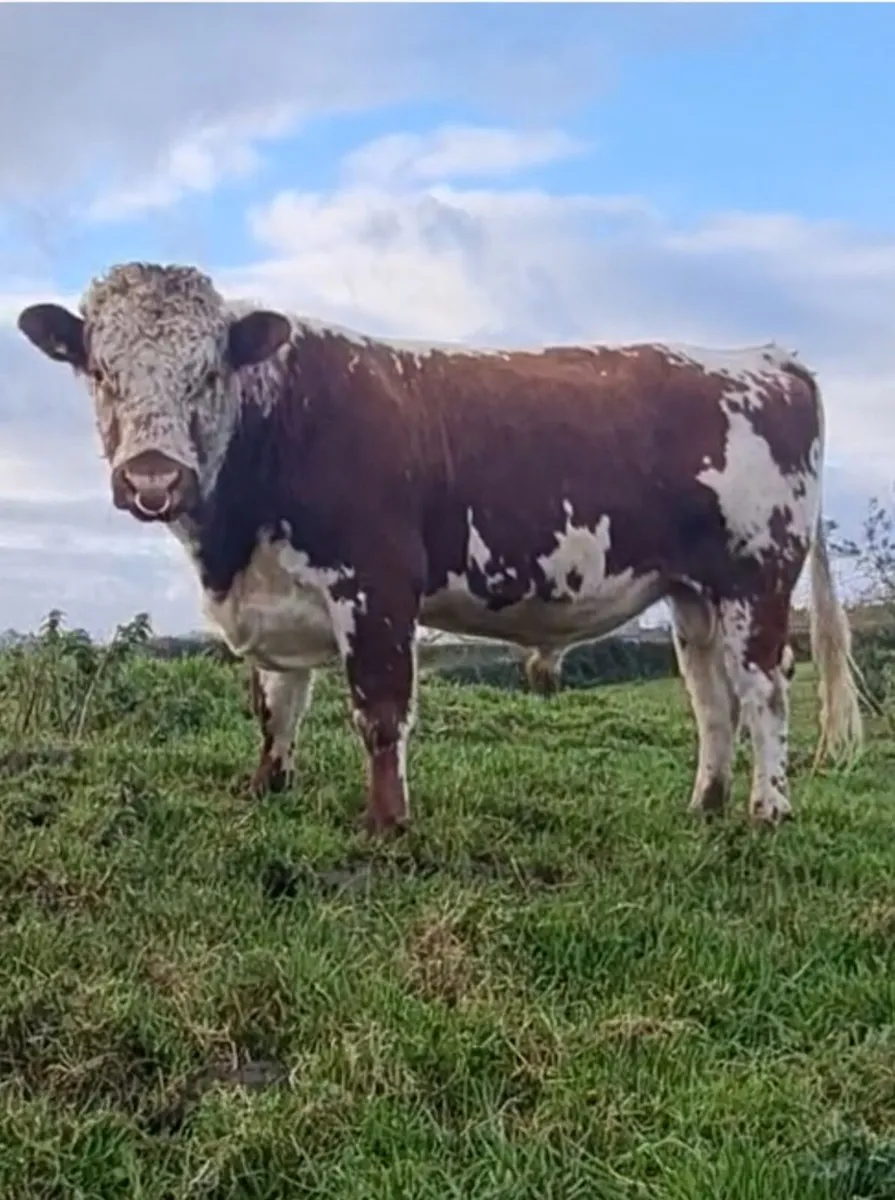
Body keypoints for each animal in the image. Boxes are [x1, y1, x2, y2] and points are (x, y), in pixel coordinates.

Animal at [17, 262, 863, 835]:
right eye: (100, 370)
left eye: (207, 373)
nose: (153, 479)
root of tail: (766, 358)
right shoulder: (274, 598)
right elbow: (275, 704)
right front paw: (267, 787)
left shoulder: (376, 585)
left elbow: (380, 710)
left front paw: (387, 825)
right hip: (692, 593)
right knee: (709, 695)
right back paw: (704, 804)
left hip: (756, 577)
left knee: (763, 688)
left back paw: (766, 811)